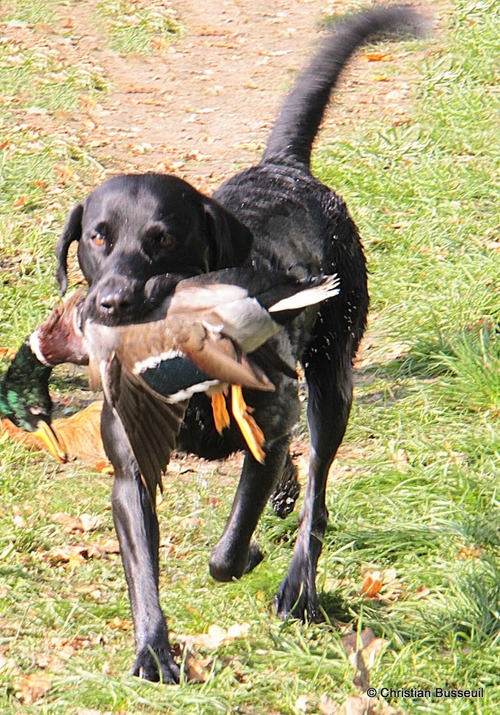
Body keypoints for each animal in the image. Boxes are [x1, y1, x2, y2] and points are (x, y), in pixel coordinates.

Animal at [53, 8, 422, 684]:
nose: (112, 303)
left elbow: (227, 550)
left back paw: (299, 586)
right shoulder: (130, 473)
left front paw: (246, 556)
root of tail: (285, 166)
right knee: (298, 479)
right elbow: (143, 572)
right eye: (98, 236)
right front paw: (153, 653)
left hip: (333, 379)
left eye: (162, 238)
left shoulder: (270, 426)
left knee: (317, 493)